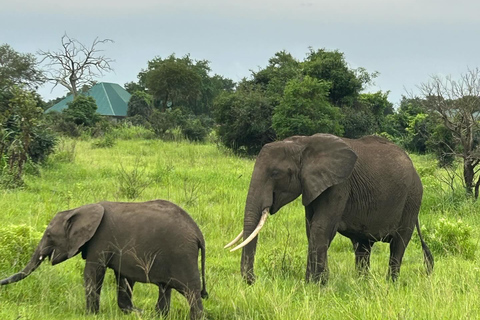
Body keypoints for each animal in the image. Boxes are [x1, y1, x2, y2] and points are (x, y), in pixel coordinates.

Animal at [0, 199, 206, 318]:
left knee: (191, 292)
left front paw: (90, 315)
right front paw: (137, 312)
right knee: (165, 288)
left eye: (49, 235)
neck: (77, 210)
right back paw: (158, 316)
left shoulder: (101, 239)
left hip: (182, 255)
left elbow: (93, 273)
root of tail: (198, 234)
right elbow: (123, 277)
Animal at [226, 134, 436, 284]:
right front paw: (311, 283)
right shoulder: (312, 186)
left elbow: (320, 229)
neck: (303, 144)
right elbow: (311, 230)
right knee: (363, 247)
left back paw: (390, 284)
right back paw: (362, 283)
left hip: (412, 199)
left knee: (398, 244)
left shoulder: (339, 186)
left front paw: (317, 285)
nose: (253, 280)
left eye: (275, 173)